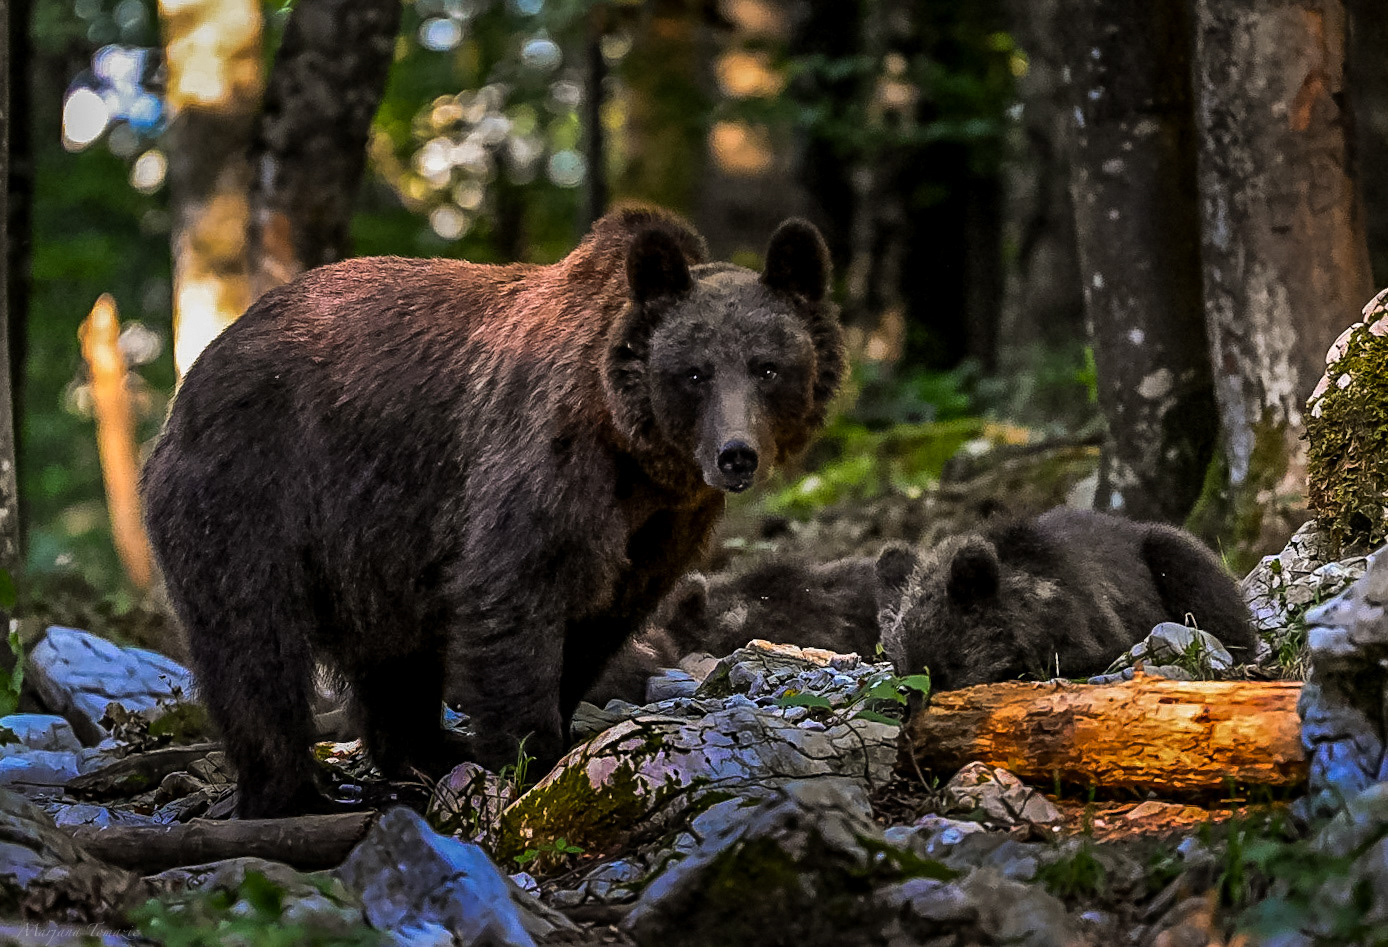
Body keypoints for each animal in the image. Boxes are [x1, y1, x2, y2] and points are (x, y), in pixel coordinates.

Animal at [141, 207, 845, 817]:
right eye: (695, 372)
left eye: (768, 367)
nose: (735, 455)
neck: (632, 452)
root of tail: (200, 370)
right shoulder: (546, 455)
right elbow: (515, 590)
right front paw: (532, 753)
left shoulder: (661, 525)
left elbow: (602, 619)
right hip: (256, 488)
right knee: (252, 639)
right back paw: (295, 791)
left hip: (375, 544)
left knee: (394, 655)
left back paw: (424, 751)